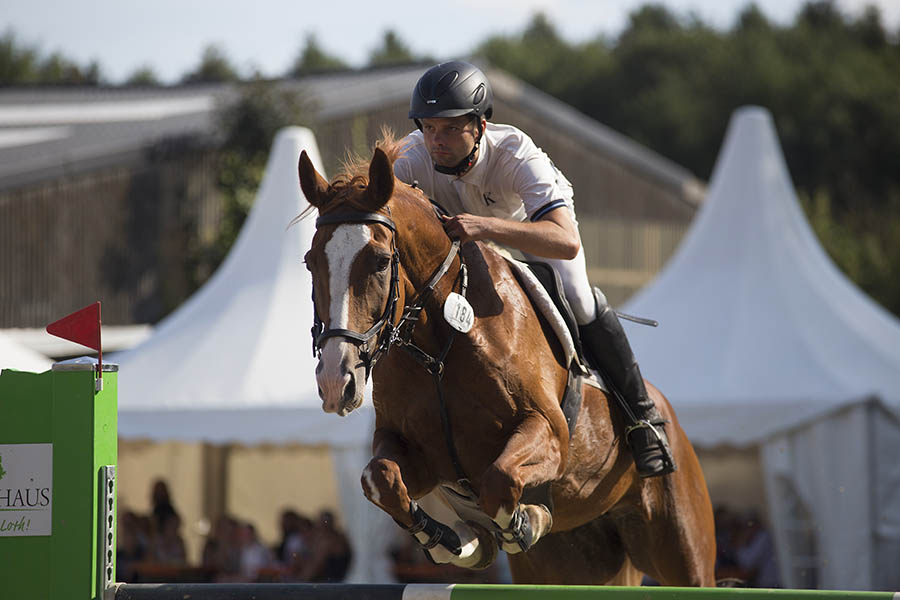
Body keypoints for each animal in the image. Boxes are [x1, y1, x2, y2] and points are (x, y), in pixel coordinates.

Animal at [298, 142, 712, 584]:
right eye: (310, 261)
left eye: (378, 261)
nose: (335, 382)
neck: (437, 350)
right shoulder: (412, 450)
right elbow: (381, 479)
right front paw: (457, 542)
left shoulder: (549, 433)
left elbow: (499, 480)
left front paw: (526, 520)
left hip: (682, 546)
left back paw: (649, 436)